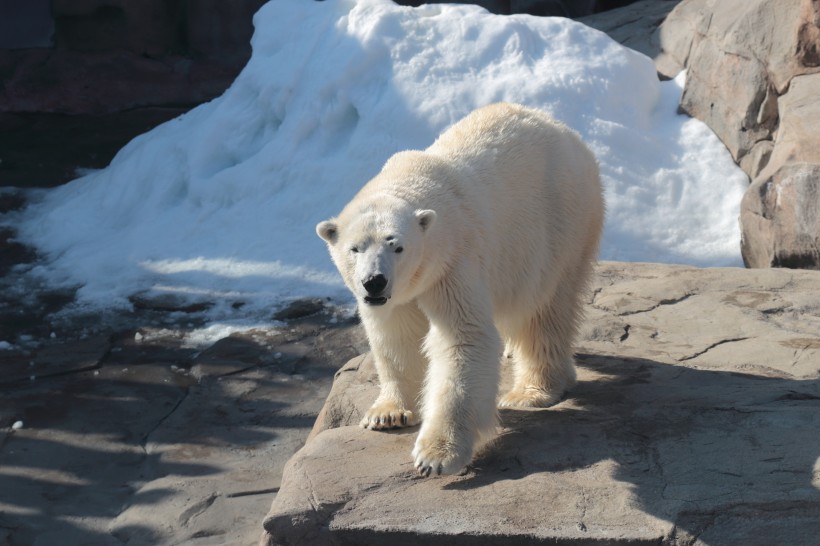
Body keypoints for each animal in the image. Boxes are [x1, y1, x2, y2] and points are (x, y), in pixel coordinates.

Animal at [318, 101, 604, 472]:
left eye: (397, 246)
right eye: (355, 248)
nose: (374, 282)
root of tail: (571, 135)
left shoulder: (453, 262)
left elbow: (463, 337)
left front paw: (436, 455)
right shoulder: (398, 296)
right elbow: (397, 336)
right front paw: (387, 415)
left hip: (559, 223)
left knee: (543, 309)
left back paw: (530, 391)